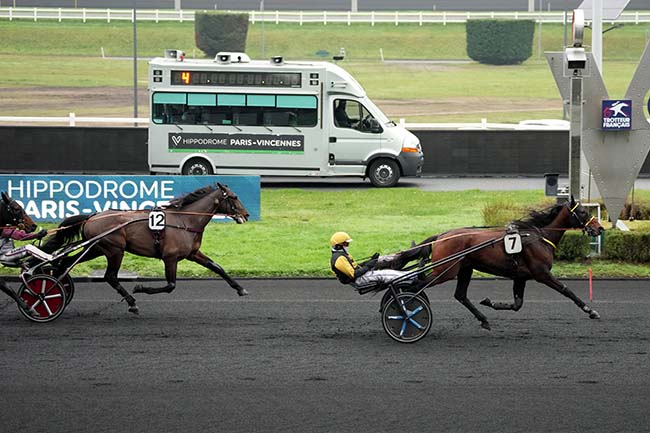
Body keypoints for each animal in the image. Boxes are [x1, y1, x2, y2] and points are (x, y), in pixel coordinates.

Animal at [41, 182, 248, 314]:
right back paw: (131, 302)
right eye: (234, 197)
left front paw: (240, 289)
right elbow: (170, 286)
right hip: (114, 250)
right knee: (110, 277)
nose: (246, 215)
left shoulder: (193, 253)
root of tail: (93, 216)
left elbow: (217, 267)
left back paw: (54, 285)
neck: (185, 221)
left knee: (66, 262)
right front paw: (141, 288)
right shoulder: (170, 258)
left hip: (96, 248)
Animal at [384, 197, 604, 330]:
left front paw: (489, 302)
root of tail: (441, 236)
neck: (538, 236)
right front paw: (591, 311)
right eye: (583, 212)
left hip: (464, 268)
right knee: (416, 287)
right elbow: (567, 291)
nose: (599, 228)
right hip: (445, 270)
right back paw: (405, 313)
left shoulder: (520, 277)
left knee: (460, 295)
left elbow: (517, 304)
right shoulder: (541, 273)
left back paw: (484, 319)